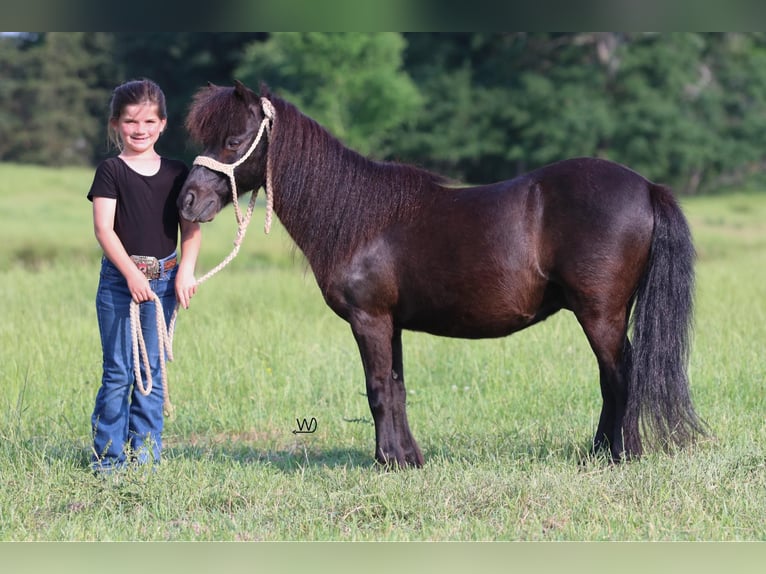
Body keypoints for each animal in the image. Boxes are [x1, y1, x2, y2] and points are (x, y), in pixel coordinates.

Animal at [180, 81, 708, 468]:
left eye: (233, 140)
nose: (187, 200)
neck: (360, 218)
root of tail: (646, 186)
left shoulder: (369, 320)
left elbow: (376, 390)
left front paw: (387, 462)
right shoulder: (389, 323)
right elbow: (395, 387)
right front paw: (408, 457)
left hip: (601, 313)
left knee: (619, 376)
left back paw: (621, 454)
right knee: (612, 377)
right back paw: (599, 452)